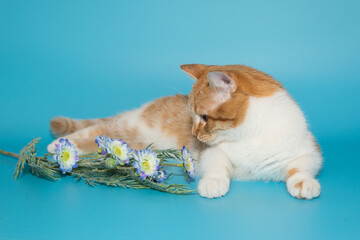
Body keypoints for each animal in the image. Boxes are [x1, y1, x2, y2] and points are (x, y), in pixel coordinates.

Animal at [47, 64, 320, 200]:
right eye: (192, 115)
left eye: (205, 117)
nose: (195, 134)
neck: (251, 136)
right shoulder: (212, 153)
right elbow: (218, 165)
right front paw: (213, 183)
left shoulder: (309, 152)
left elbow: (301, 167)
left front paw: (304, 183)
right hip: (131, 128)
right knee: (98, 130)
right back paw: (59, 148)